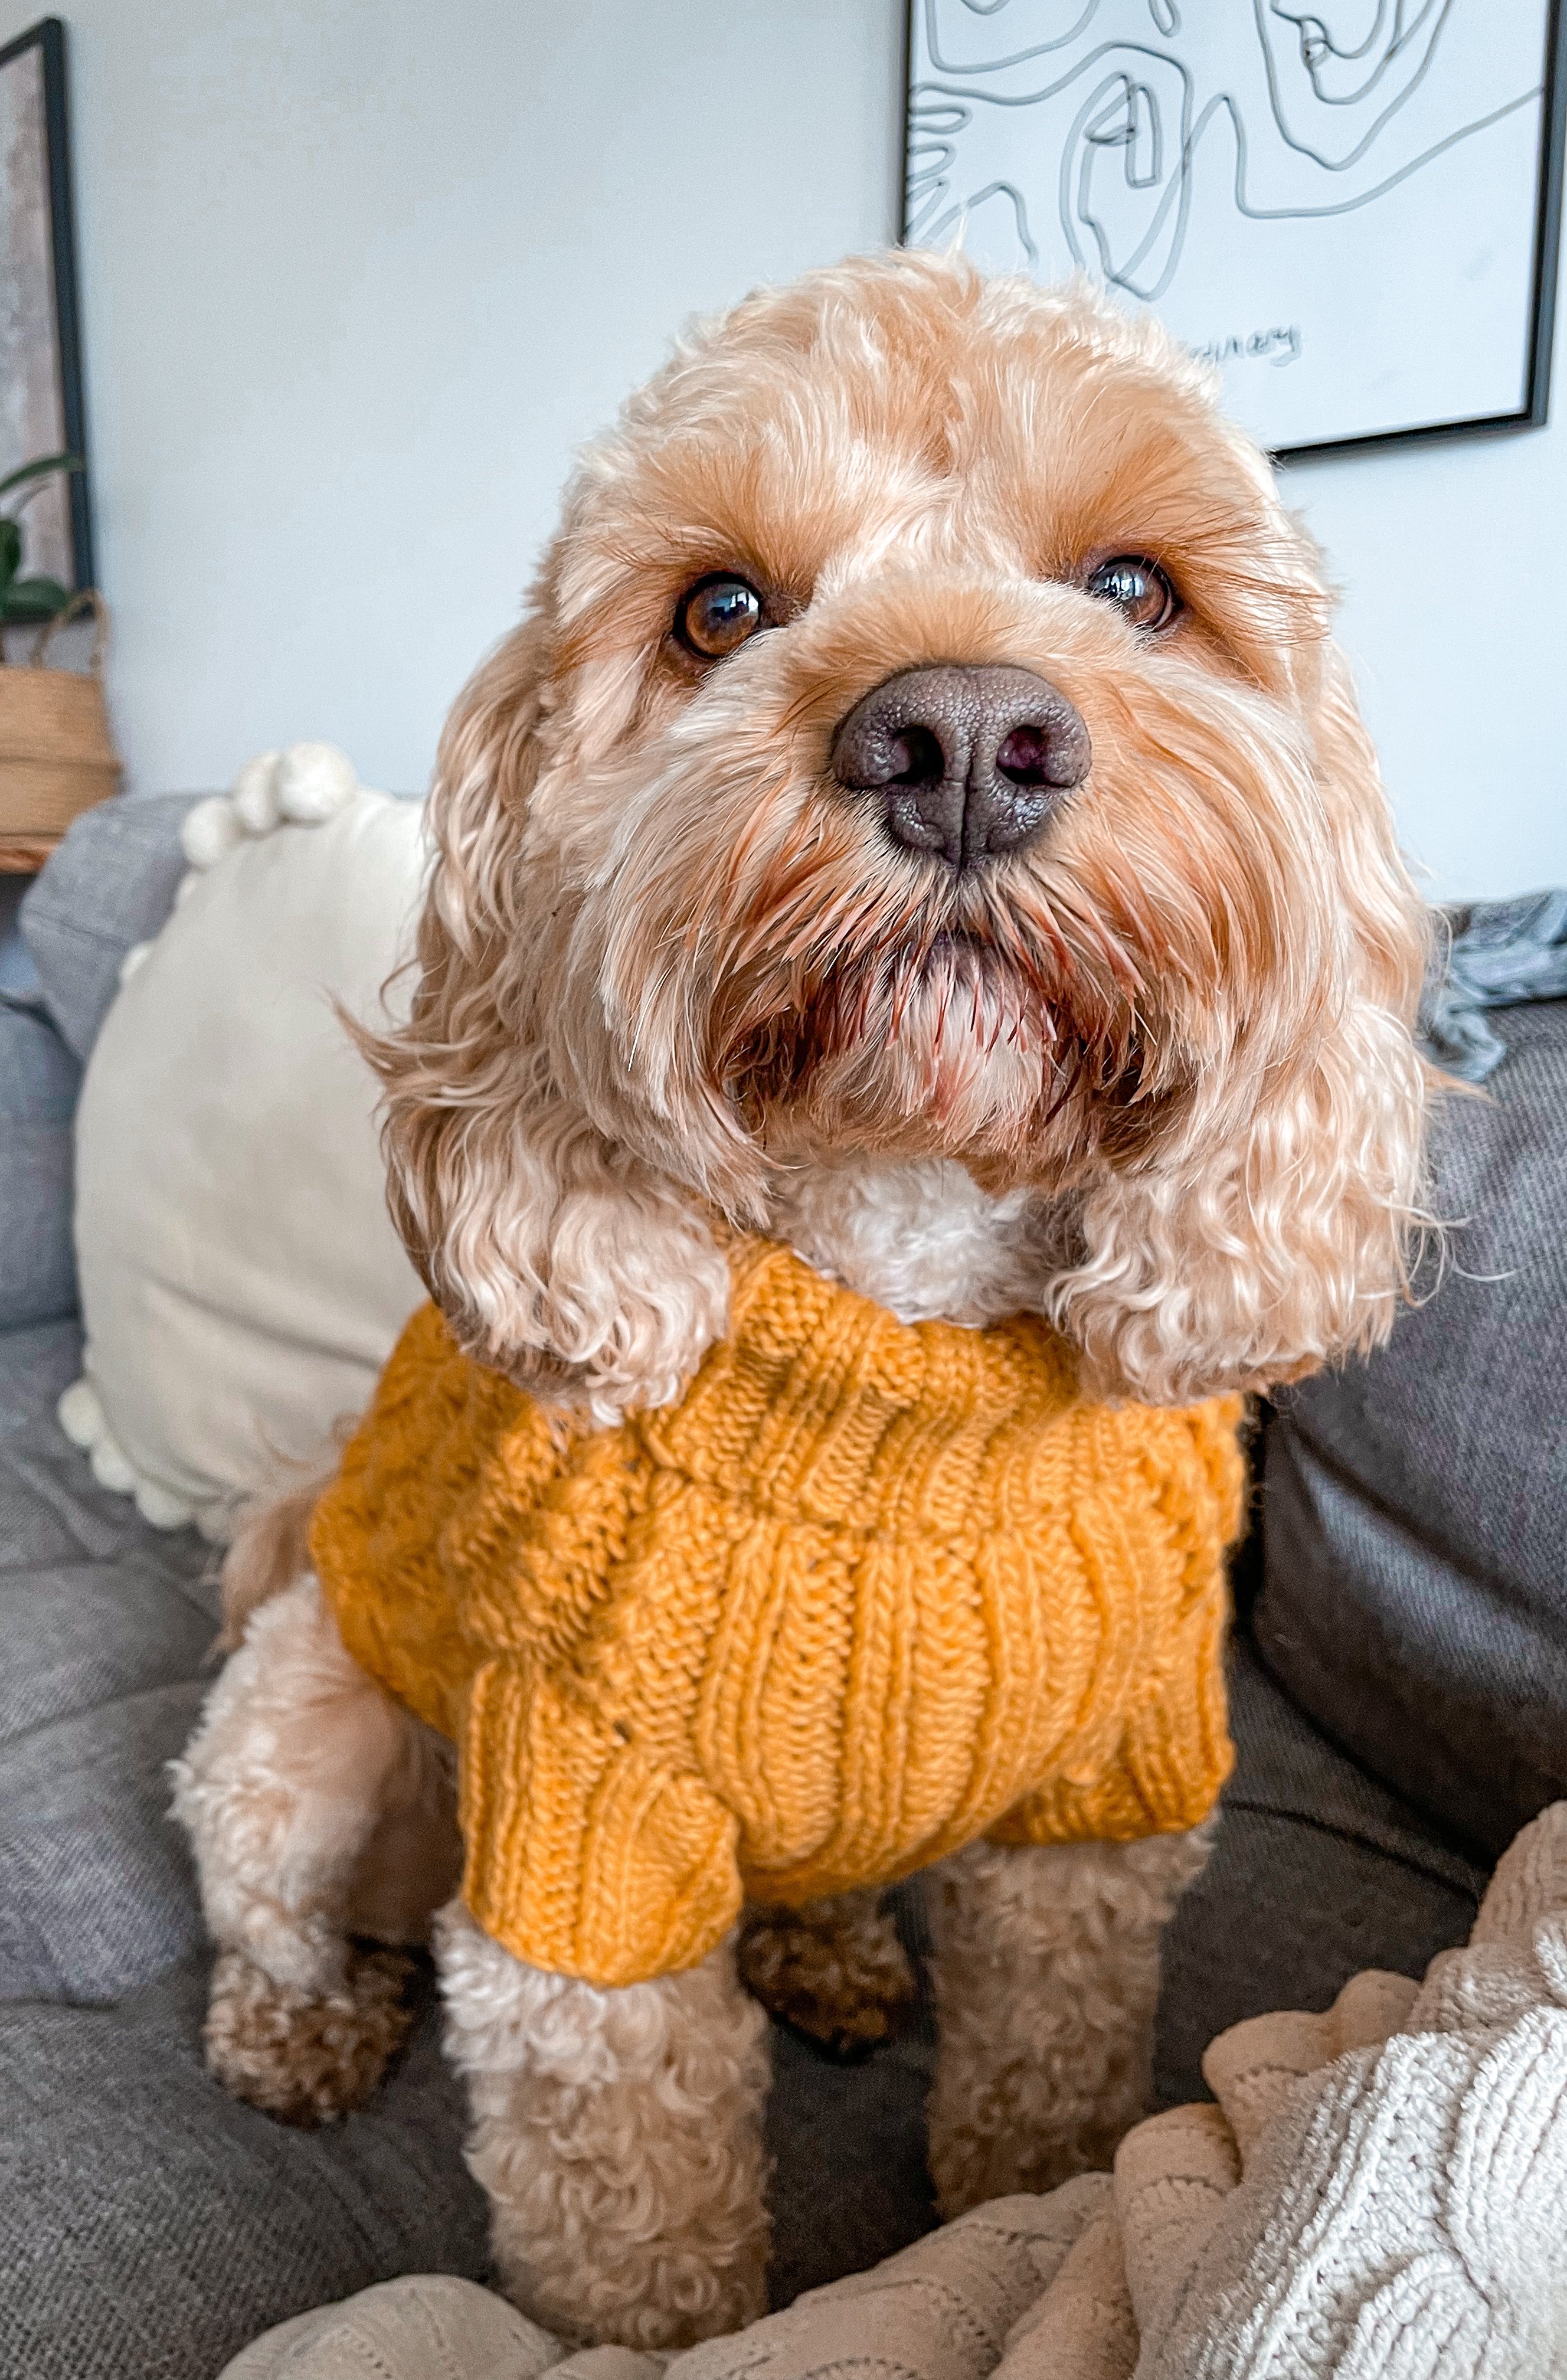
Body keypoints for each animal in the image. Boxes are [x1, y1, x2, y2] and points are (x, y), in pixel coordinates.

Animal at [174, 256, 1428, 2361]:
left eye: (1136, 587)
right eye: (720, 612)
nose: (960, 737)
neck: (898, 1325)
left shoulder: (1098, 1808)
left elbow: (1046, 2111)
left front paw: (1024, 2211)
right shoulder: (583, 1857)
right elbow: (639, 2236)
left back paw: (833, 1956)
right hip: (299, 1735)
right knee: (267, 1895)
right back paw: (299, 2025)